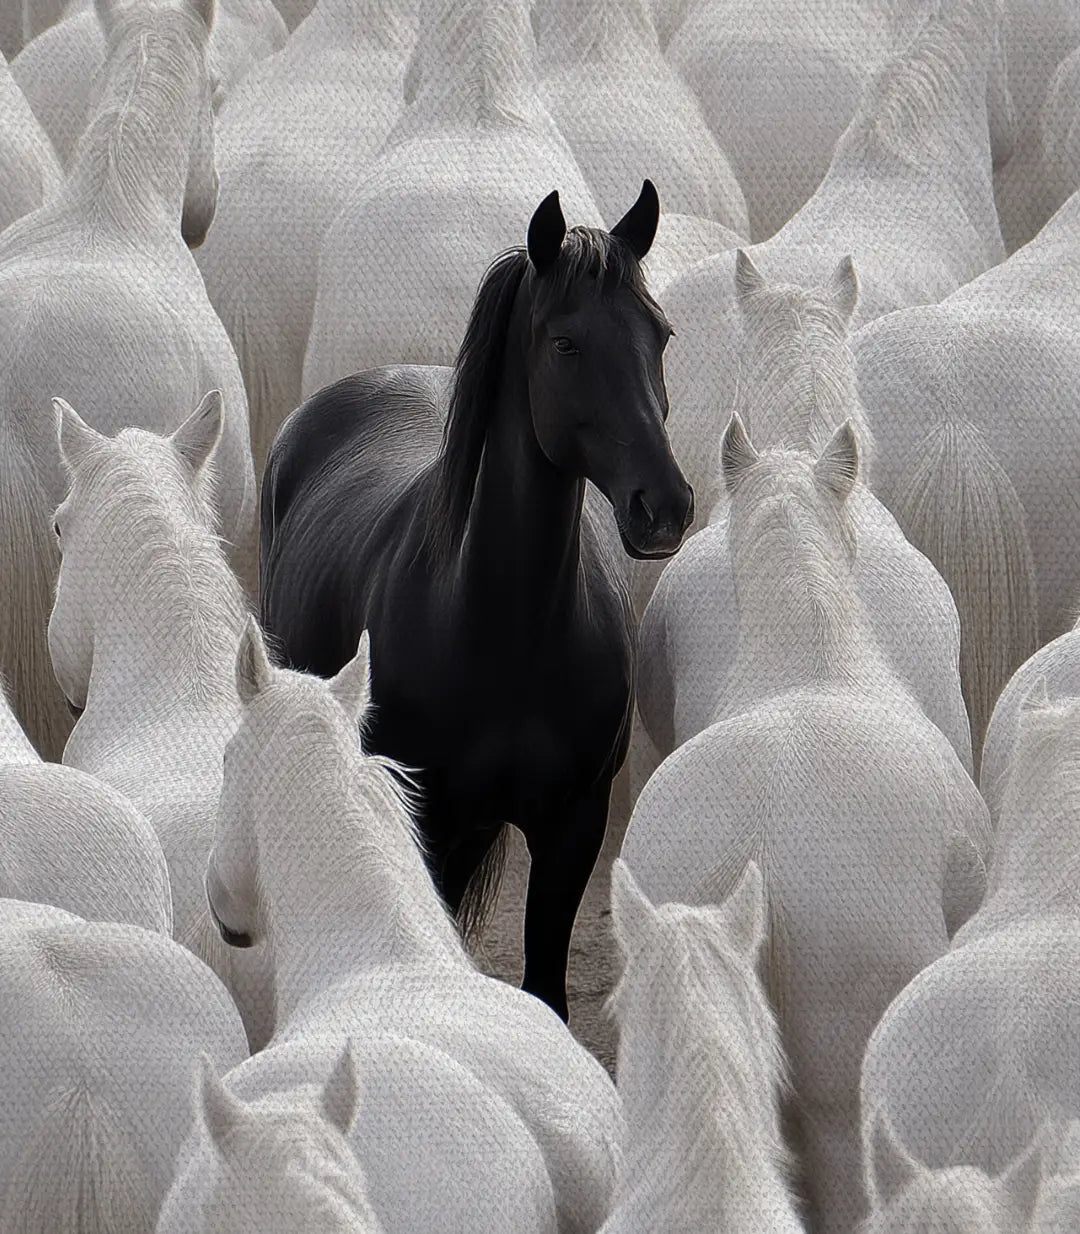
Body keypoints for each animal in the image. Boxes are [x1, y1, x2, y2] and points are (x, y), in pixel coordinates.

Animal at [261, 185, 693, 1022]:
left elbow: (547, 988)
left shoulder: (572, 829)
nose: (664, 507)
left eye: (659, 334)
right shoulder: (428, 818)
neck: (505, 629)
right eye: (565, 343)